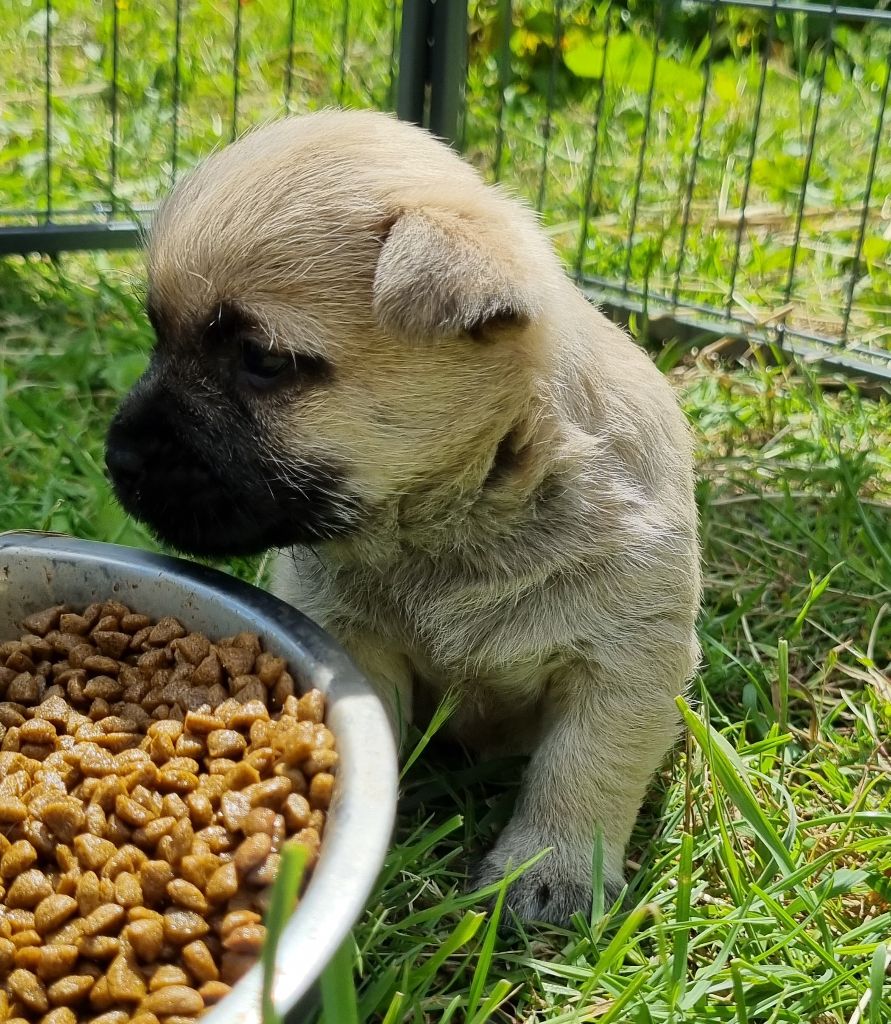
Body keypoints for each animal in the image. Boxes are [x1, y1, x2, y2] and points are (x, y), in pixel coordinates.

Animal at [106, 108, 704, 925]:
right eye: (158, 334)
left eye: (262, 360)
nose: (118, 460)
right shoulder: (360, 646)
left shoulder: (621, 668)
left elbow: (581, 770)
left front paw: (553, 868)